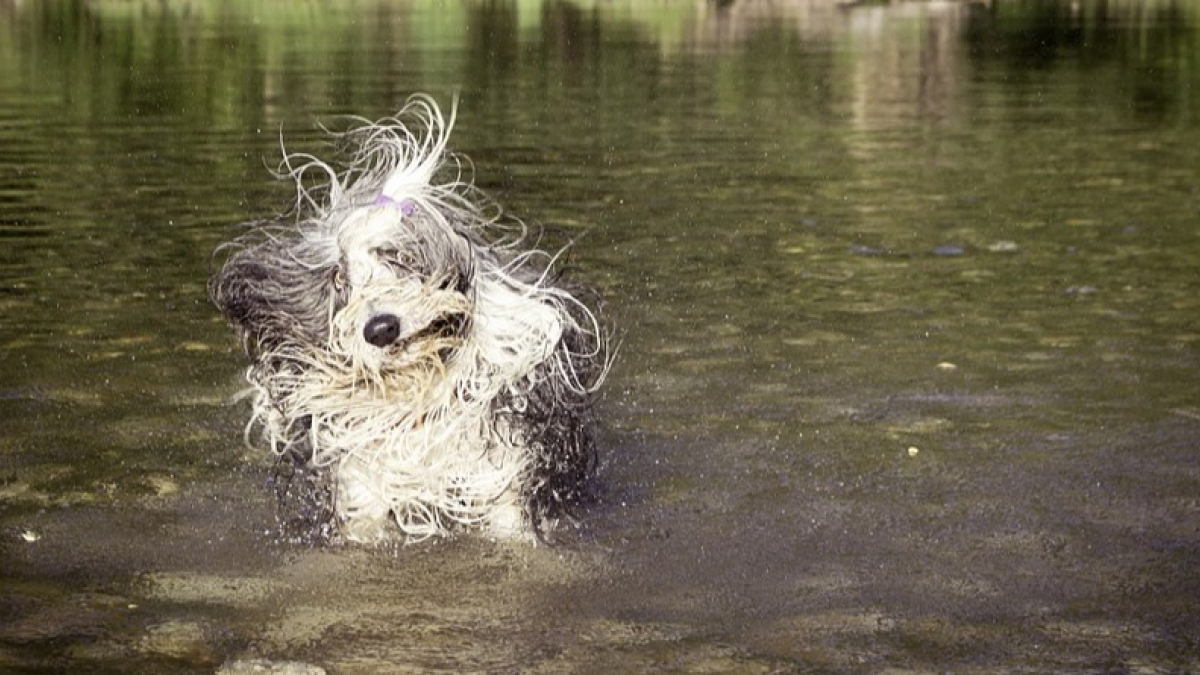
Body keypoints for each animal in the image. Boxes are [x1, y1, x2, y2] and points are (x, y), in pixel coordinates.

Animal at [207, 96, 614, 540]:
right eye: (338, 278)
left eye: (397, 257)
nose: (381, 328)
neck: (419, 388)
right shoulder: (362, 486)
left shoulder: (499, 473)